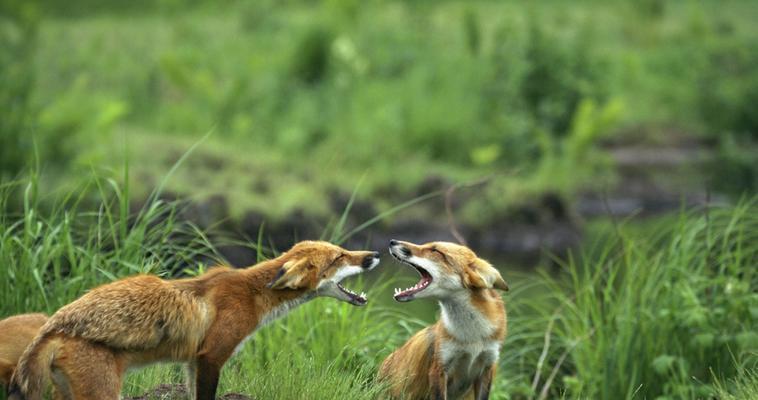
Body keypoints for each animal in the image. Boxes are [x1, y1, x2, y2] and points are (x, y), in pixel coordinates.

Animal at [7, 241, 380, 400]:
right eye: (340, 257)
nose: (375, 254)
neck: (253, 294)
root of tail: (52, 327)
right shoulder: (211, 356)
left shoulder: (191, 362)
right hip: (102, 393)